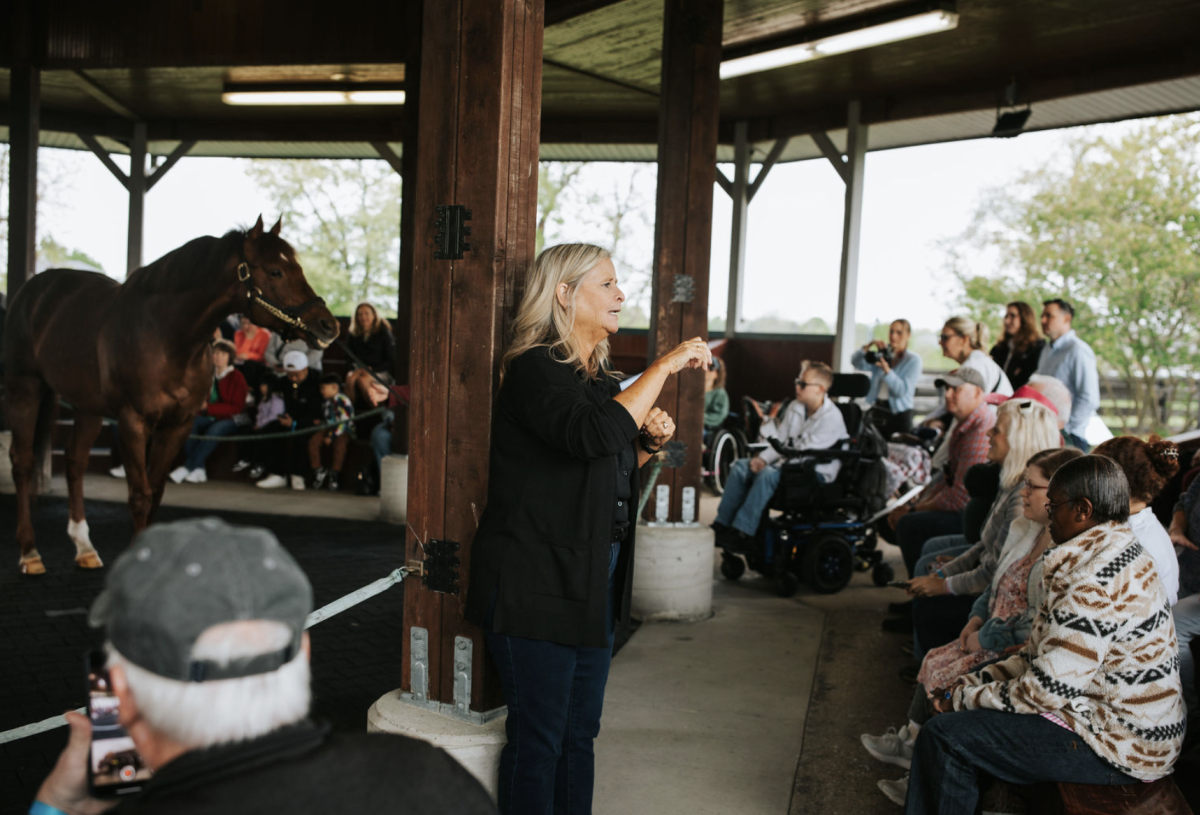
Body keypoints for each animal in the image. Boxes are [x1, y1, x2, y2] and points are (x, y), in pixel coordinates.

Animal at [3, 217, 338, 573]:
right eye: (275, 271)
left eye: (297, 267)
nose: (328, 326)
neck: (168, 336)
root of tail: (33, 290)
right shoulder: (133, 422)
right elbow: (141, 496)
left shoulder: (178, 425)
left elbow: (157, 491)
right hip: (25, 388)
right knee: (22, 462)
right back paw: (30, 553)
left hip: (87, 406)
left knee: (75, 461)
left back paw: (85, 548)